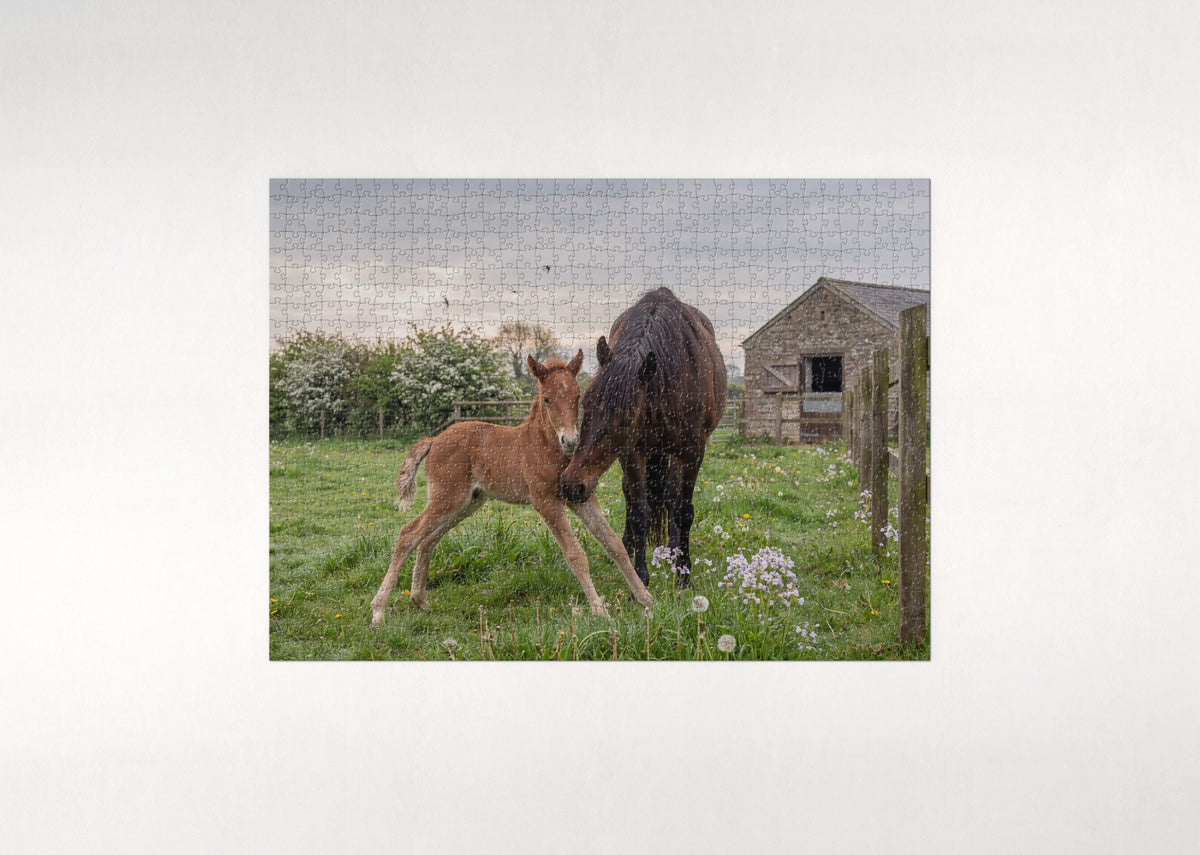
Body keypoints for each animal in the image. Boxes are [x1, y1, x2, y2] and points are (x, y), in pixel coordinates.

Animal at [369, 350, 654, 627]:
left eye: (577, 396)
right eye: (547, 399)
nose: (571, 440)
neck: (545, 444)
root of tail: (435, 439)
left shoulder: (579, 498)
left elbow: (614, 545)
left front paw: (646, 600)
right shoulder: (546, 502)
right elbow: (576, 555)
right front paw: (600, 611)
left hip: (467, 503)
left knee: (427, 539)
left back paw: (420, 599)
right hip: (448, 498)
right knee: (408, 534)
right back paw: (378, 611)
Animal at [560, 288, 726, 588]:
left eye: (626, 419)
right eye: (585, 405)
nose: (571, 485)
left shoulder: (693, 451)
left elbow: (683, 511)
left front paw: (684, 576)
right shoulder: (632, 451)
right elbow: (639, 512)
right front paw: (639, 579)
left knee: (672, 497)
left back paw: (673, 554)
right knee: (634, 496)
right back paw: (627, 548)